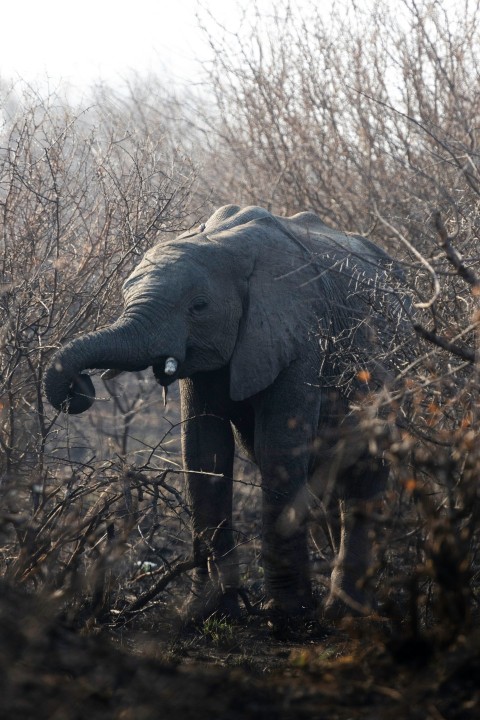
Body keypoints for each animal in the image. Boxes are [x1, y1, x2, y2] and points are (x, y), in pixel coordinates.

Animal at [44, 204, 414, 621]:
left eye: (199, 306)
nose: (79, 387)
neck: (223, 244)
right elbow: (204, 450)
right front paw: (206, 612)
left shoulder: (300, 335)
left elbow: (279, 450)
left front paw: (288, 614)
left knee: (365, 470)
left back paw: (345, 610)